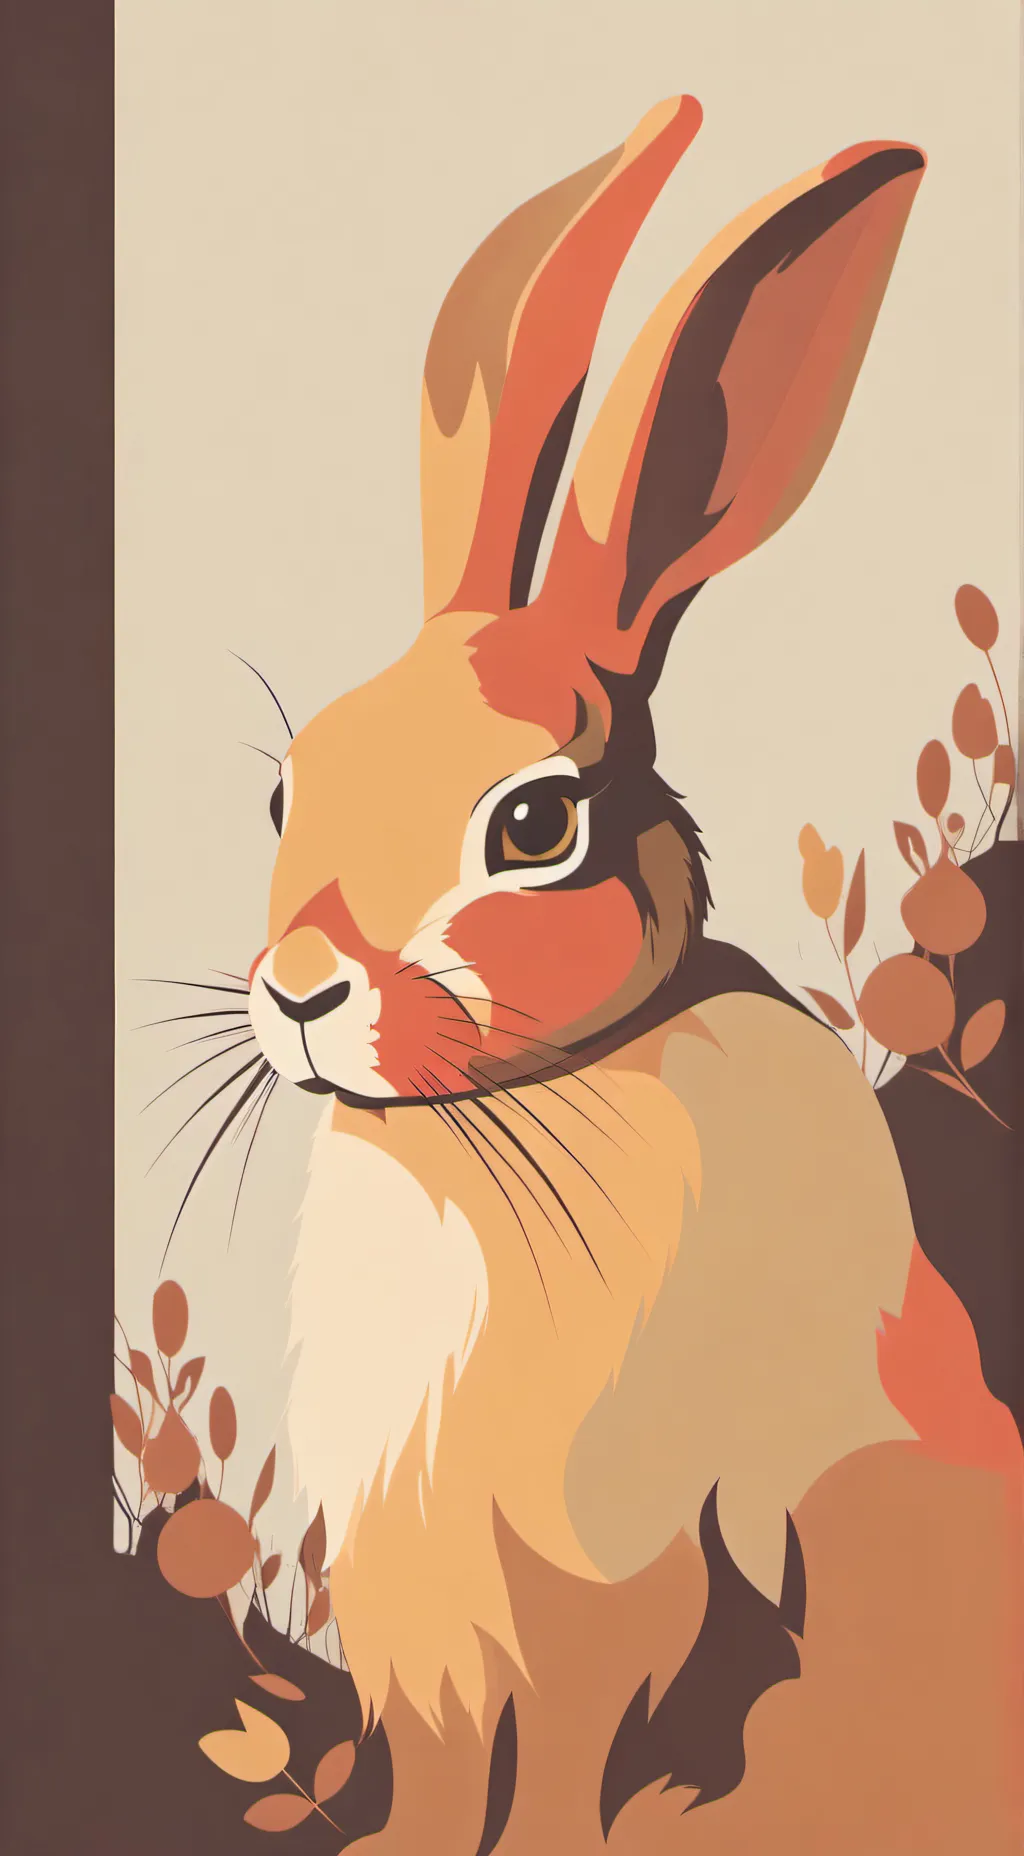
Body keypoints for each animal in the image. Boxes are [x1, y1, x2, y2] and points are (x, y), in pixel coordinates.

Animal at [242, 99, 1020, 1853]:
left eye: (535, 825)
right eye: (287, 788)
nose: (303, 988)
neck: (509, 1110)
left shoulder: (612, 1587)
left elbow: (565, 1764)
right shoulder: (426, 1630)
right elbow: (433, 1778)